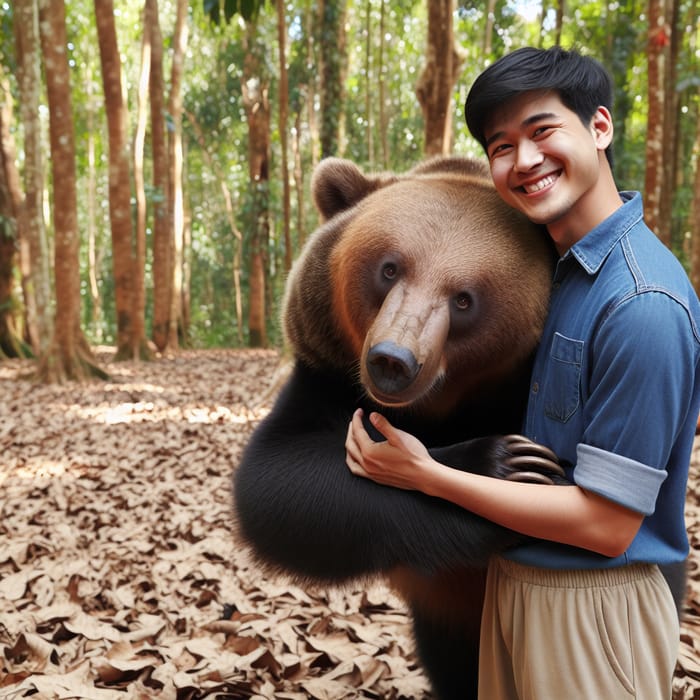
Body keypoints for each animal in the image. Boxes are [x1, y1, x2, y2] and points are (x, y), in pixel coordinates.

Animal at [232, 157, 568, 700]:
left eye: (464, 299)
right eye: (389, 268)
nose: (393, 360)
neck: (440, 408)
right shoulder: (327, 373)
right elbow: (281, 485)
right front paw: (502, 464)